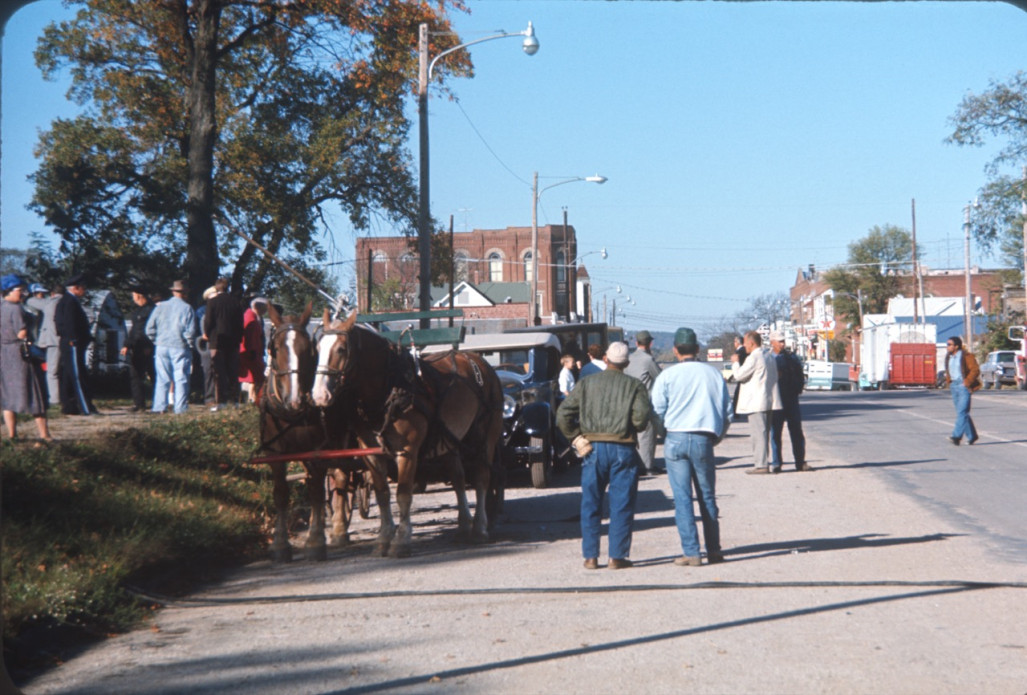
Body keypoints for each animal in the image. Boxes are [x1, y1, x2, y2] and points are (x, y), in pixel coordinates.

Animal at [258, 303, 379, 562]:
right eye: (275, 349)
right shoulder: (275, 454)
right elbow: (281, 492)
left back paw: (339, 529)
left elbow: (315, 491)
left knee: (341, 477)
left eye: (307, 349)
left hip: (341, 441)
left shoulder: (316, 450)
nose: (295, 399)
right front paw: (280, 544)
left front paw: (315, 541)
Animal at [312, 310, 505, 558]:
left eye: (341, 349)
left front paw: (401, 540)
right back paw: (463, 525)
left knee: (482, 476)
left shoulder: (407, 451)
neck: (389, 388)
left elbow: (403, 495)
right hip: (450, 440)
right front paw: (384, 538)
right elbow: (382, 493)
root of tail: (479, 362)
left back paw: (479, 528)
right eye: (318, 348)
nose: (319, 394)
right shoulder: (371, 453)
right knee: (458, 478)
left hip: (486, 435)